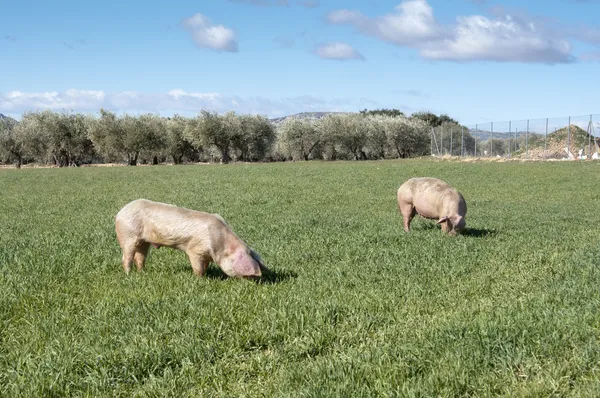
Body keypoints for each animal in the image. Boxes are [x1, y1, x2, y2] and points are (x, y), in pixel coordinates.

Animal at [114, 198, 268, 278]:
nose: (253, 281)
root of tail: (120, 212)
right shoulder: (195, 250)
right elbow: (197, 267)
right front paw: (199, 278)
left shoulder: (206, 255)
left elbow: (205, 266)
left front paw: (206, 274)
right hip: (128, 235)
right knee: (126, 257)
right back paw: (128, 274)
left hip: (144, 241)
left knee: (140, 257)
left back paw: (142, 273)